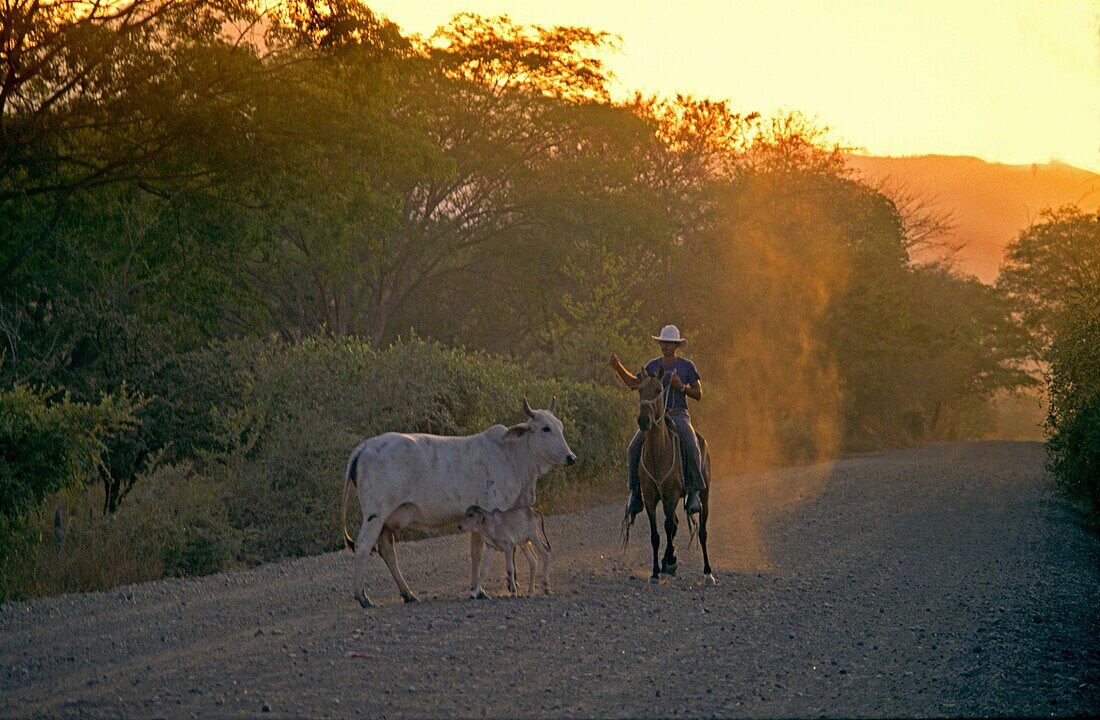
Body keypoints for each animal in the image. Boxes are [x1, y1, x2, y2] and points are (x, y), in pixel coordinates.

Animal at [338, 397, 576, 606]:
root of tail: (366, 445)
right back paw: (363, 597)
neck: (511, 454)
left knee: (387, 551)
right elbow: (489, 551)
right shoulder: (494, 509)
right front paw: (506, 585)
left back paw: (408, 594)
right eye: (545, 428)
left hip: (387, 520)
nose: (570, 457)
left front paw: (481, 589)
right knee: (363, 545)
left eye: (561, 427)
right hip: (375, 513)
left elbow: (477, 552)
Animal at [629, 367, 712, 584]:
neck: (657, 454)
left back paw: (708, 573)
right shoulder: (650, 498)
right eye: (640, 390)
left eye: (659, 390)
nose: (644, 420)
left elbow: (667, 526)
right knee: (675, 524)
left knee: (702, 531)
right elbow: (656, 534)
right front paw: (656, 571)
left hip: (704, 493)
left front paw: (669, 561)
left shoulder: (672, 494)